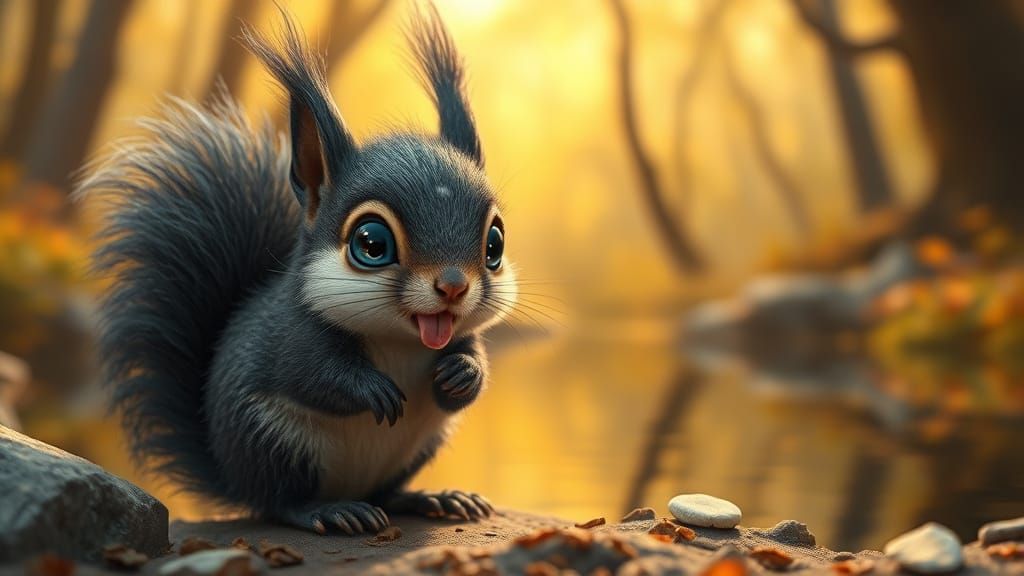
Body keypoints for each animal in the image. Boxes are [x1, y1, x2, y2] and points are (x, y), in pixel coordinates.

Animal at [79, 5, 517, 535]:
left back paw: (434, 497)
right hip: (273, 439)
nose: (453, 286)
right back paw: (332, 510)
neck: (401, 340)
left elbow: (472, 370)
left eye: (494, 244)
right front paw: (373, 389)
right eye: (371, 243)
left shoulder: (461, 339)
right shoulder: (292, 334)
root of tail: (233, 476)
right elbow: (313, 374)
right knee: (280, 502)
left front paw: (461, 373)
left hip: (420, 444)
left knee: (387, 493)